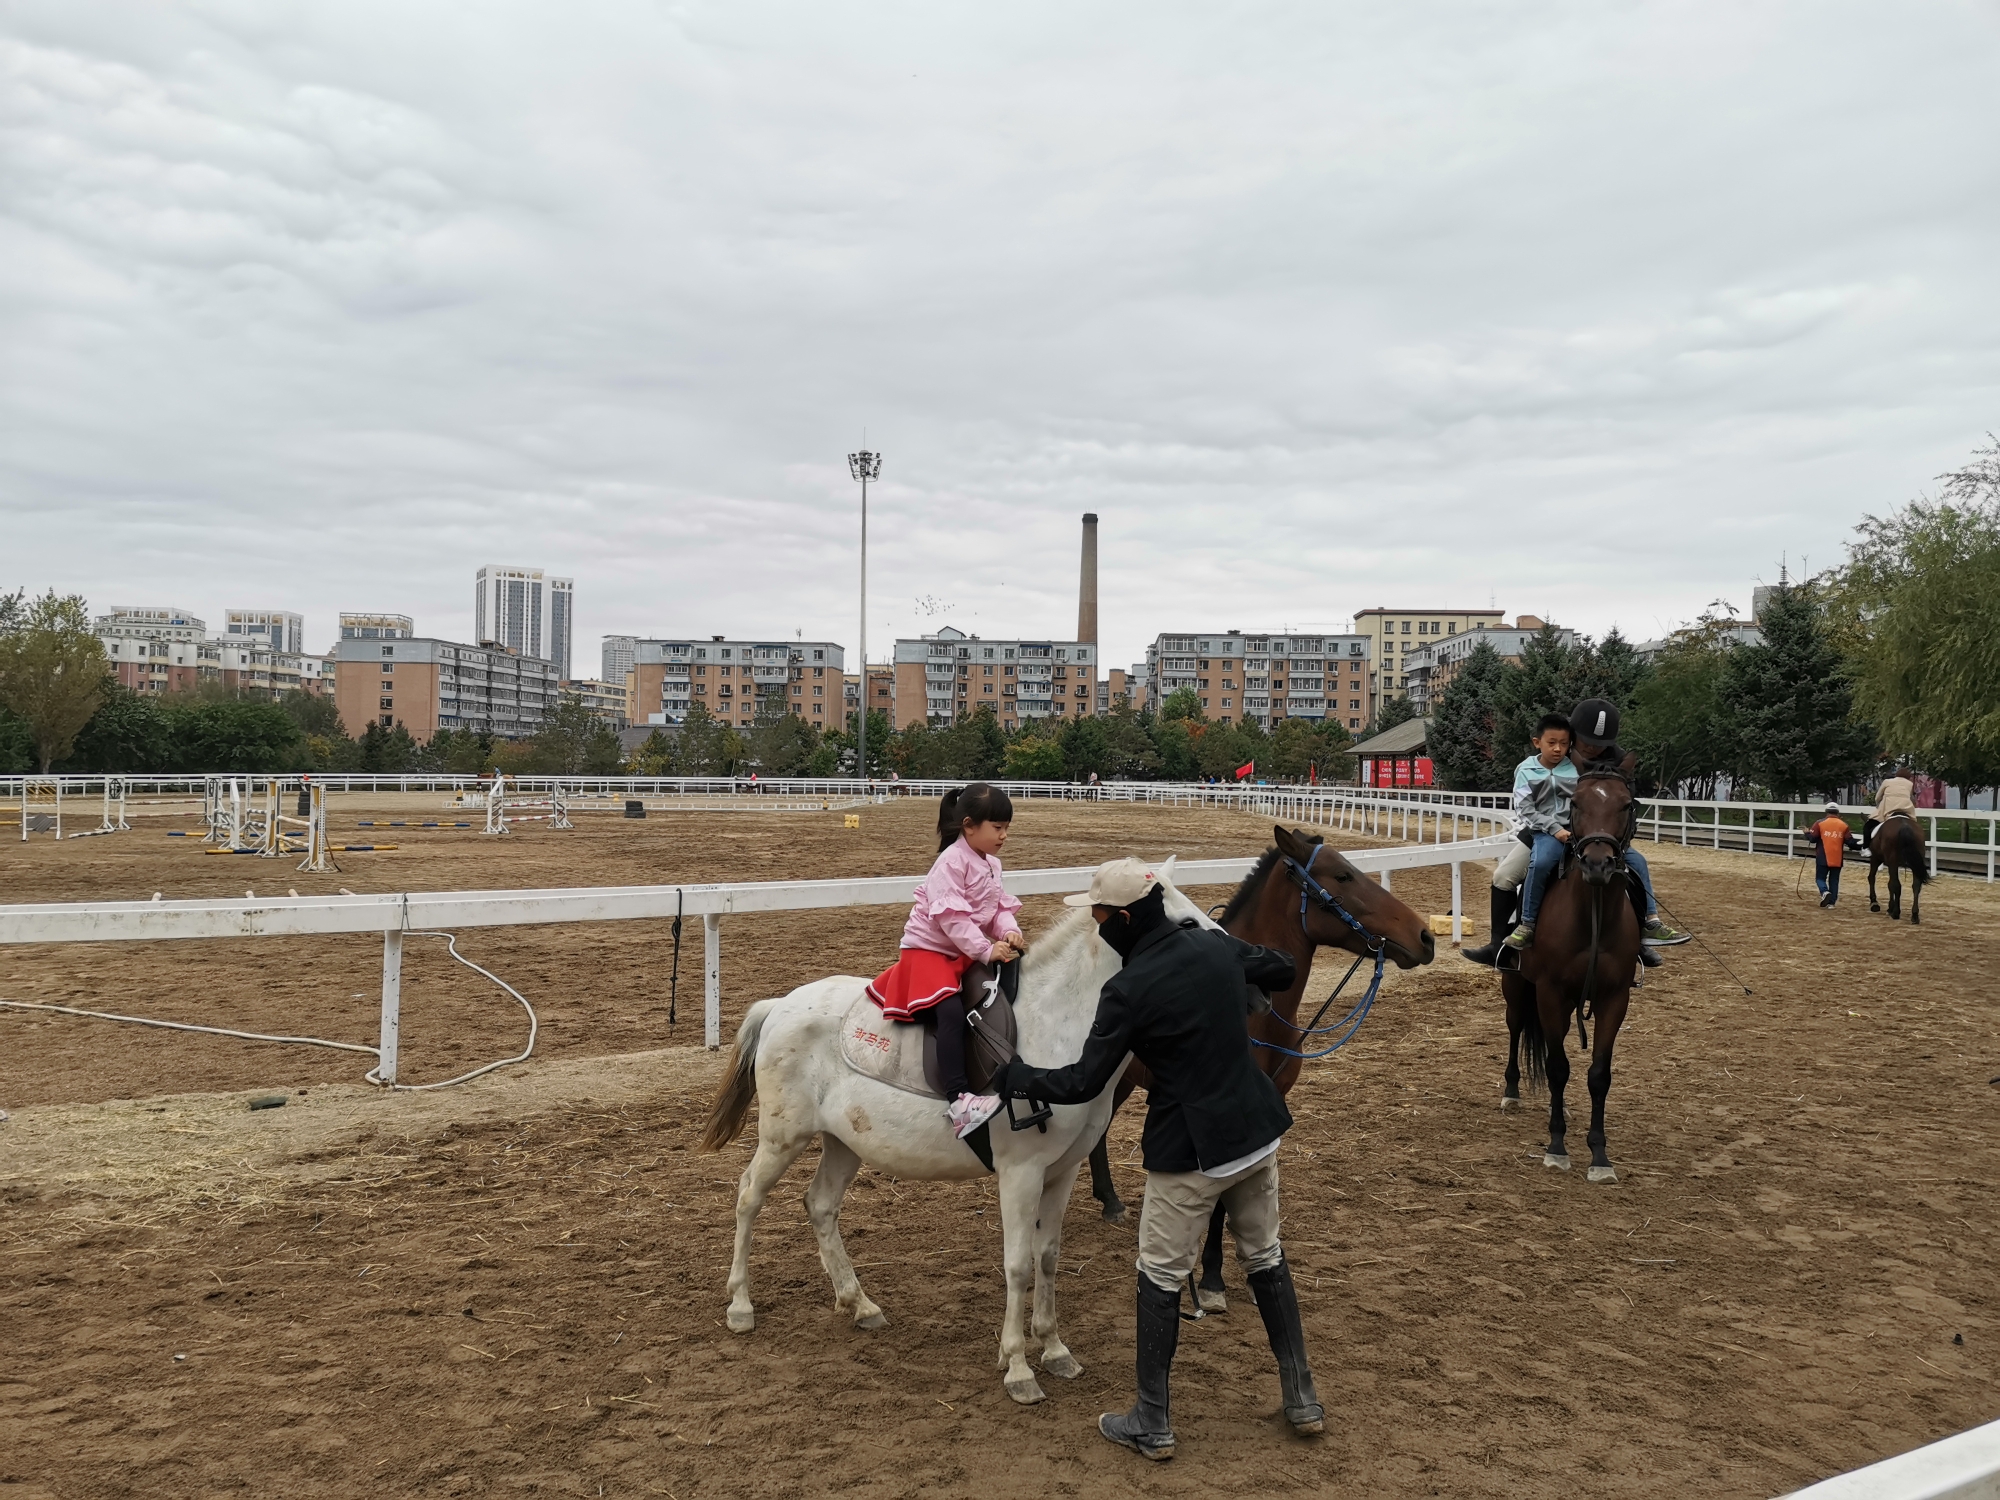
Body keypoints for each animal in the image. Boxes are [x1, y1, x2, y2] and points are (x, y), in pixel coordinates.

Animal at [704, 864, 1200, 1408]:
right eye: (1187, 924)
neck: (1054, 1028)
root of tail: (780, 1006)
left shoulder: (1062, 1172)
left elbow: (1048, 1257)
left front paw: (1053, 1349)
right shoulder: (1021, 1174)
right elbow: (1018, 1265)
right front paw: (1018, 1368)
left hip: (845, 1143)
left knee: (820, 1205)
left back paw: (859, 1303)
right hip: (782, 1138)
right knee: (748, 1198)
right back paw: (741, 1305)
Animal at [1504, 756, 1640, 1192]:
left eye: (1626, 804)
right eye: (1575, 804)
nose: (1598, 864)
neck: (1592, 913)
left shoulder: (1615, 998)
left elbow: (1599, 1074)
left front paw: (1599, 1155)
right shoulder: (1550, 993)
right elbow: (1558, 1068)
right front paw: (1557, 1147)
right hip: (1516, 986)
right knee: (1516, 1028)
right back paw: (1511, 1092)